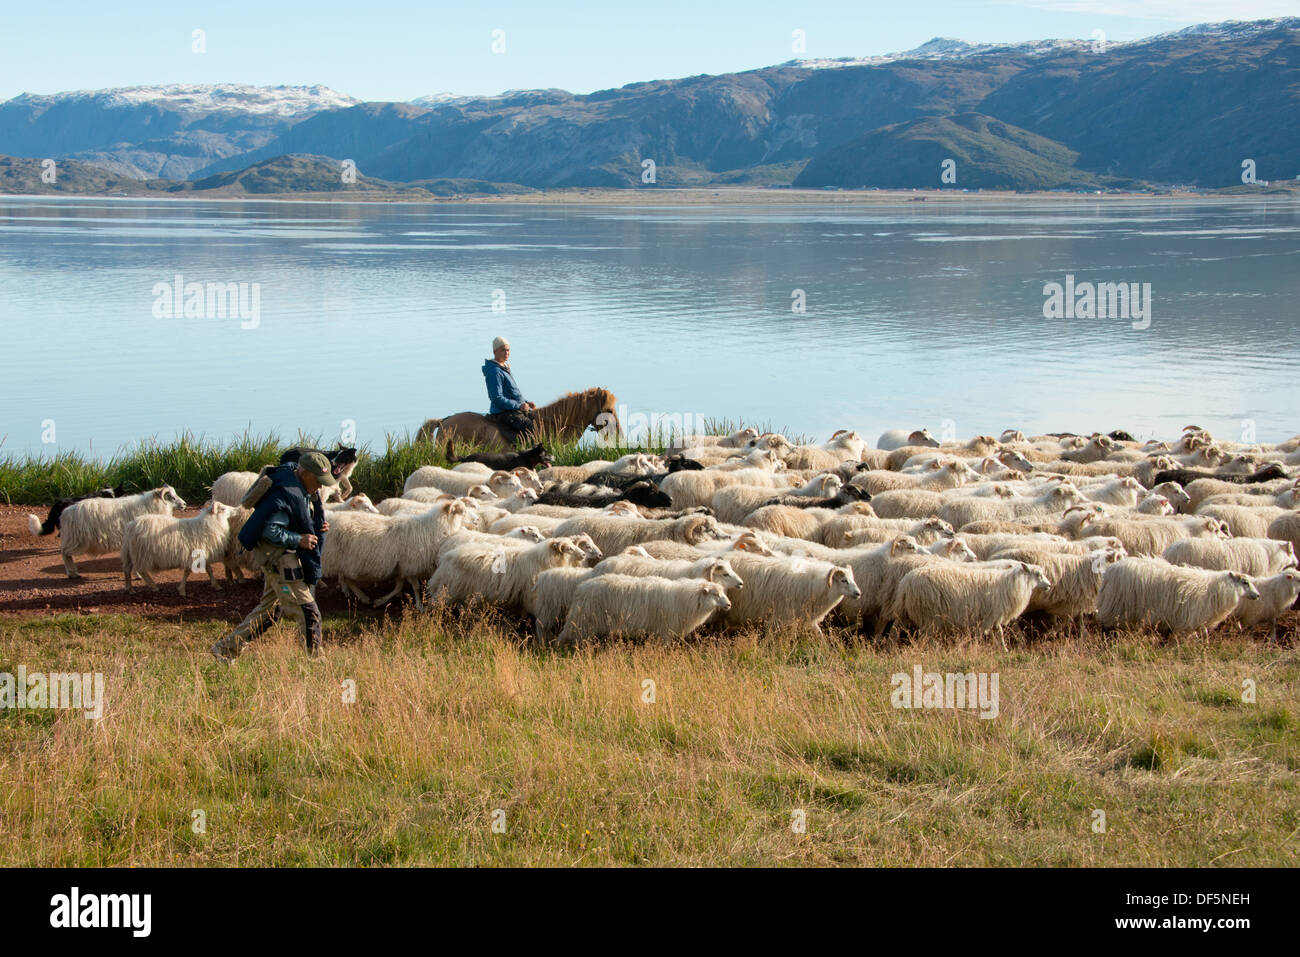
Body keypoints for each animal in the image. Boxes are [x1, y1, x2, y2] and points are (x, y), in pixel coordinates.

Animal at [58, 486, 187, 574]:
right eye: (171, 497)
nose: (185, 504)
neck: (152, 505)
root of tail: (66, 512)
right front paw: (138, 574)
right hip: (76, 539)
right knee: (64, 553)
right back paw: (71, 573)